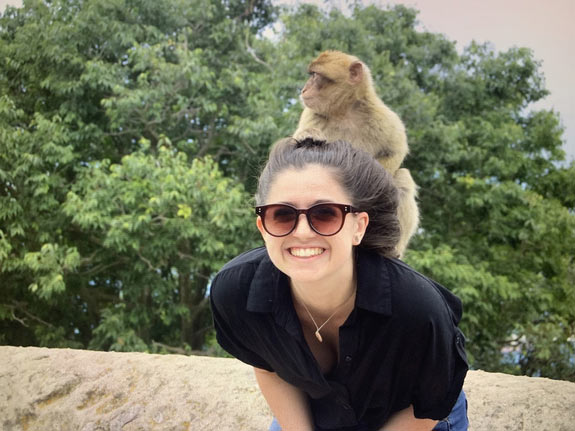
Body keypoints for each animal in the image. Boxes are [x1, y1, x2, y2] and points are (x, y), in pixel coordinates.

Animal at [294, 51, 420, 260]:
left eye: (315, 76)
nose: (304, 89)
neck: (343, 112)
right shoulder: (312, 115)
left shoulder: (381, 116)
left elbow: (395, 150)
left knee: (402, 179)